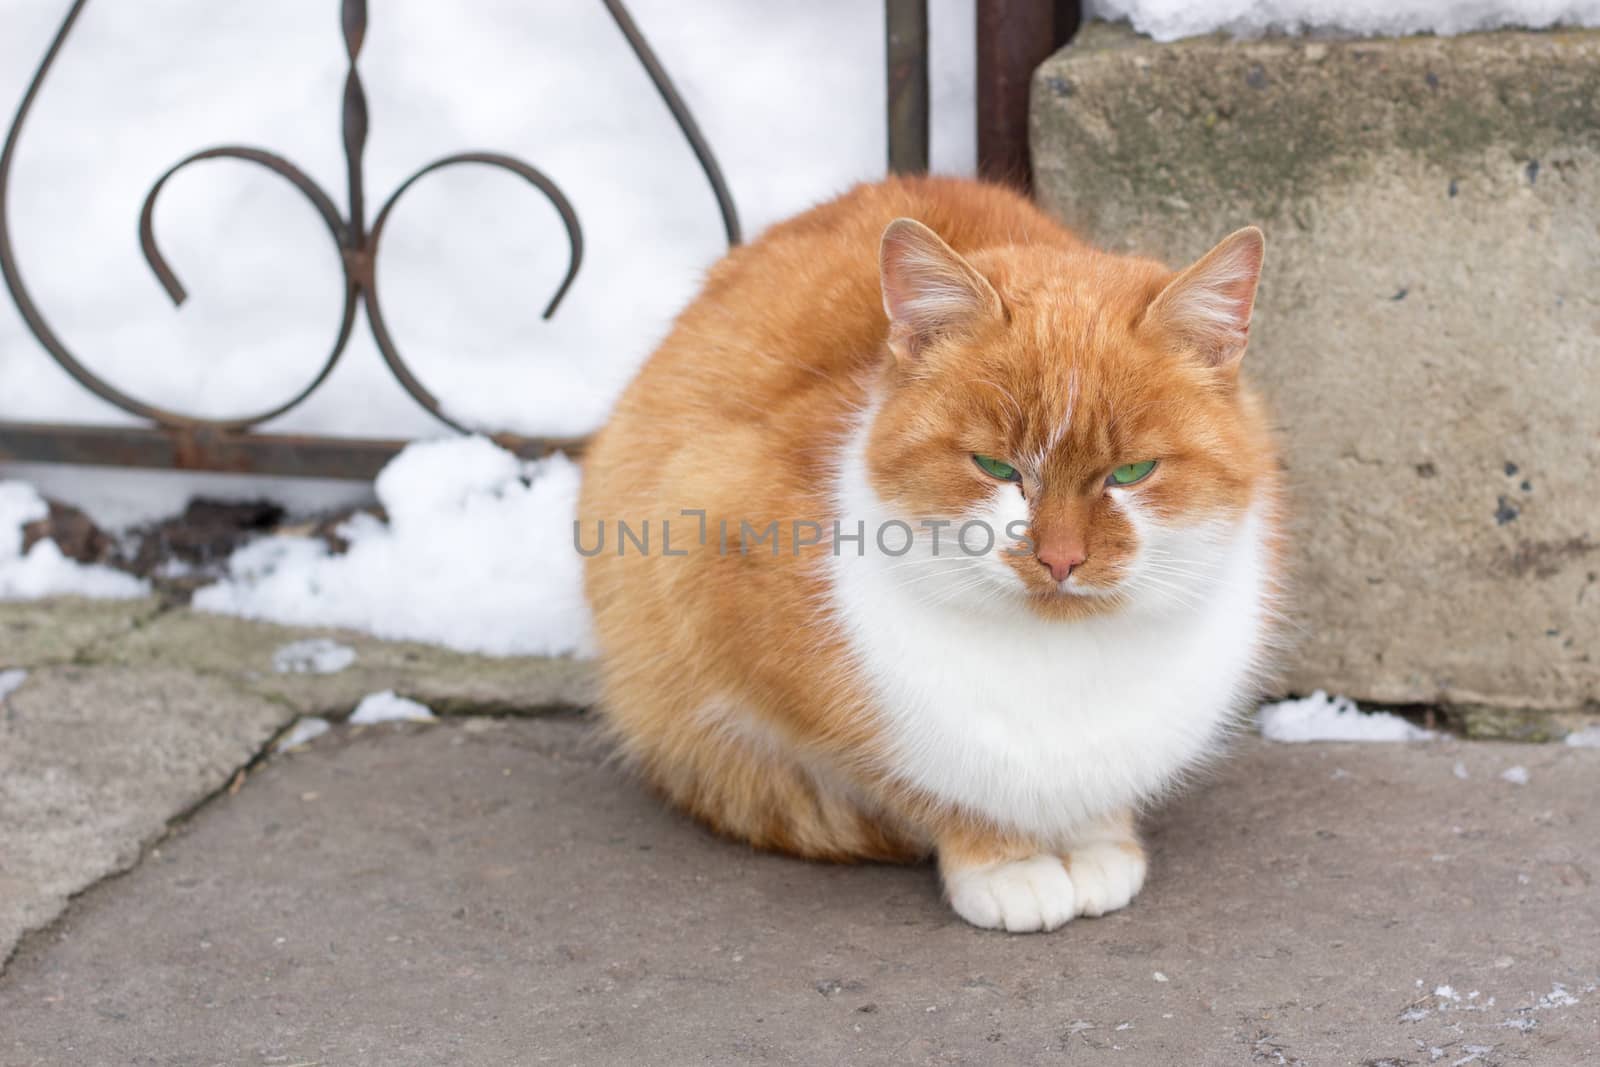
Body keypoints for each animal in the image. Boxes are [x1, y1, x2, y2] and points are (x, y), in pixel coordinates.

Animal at [582, 179, 1280, 927]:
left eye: (1132, 472)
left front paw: (1096, 834)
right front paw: (1004, 858)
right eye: (995, 467)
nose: (1060, 559)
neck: (1057, 662)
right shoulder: (704, 560)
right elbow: (930, 784)